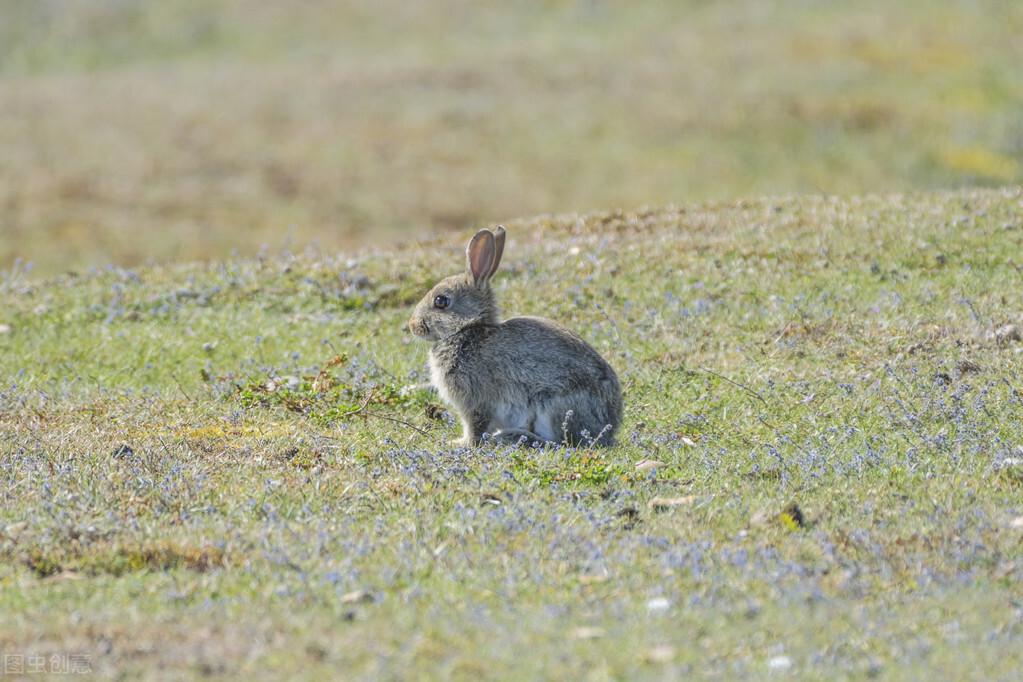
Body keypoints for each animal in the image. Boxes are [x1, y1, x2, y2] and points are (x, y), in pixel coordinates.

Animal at [407, 224, 621, 447]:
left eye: (441, 301)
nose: (412, 325)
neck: (467, 330)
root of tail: (610, 425)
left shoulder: (475, 401)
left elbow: (475, 427)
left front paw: (459, 443)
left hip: (553, 408)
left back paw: (512, 436)